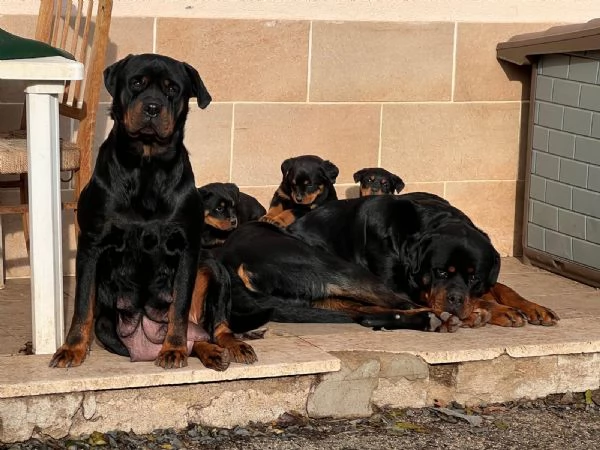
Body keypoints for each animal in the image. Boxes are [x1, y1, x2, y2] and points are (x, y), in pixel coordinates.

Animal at [49, 53, 255, 370]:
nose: (152, 107)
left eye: (172, 89)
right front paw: (72, 349)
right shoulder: (91, 244)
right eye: (136, 83)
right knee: (199, 338)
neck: (146, 166)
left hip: (214, 268)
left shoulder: (187, 248)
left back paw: (230, 346)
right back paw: (209, 352)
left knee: (214, 326)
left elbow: (179, 307)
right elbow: (82, 304)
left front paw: (173, 349)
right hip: (107, 329)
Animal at [288, 194, 560, 330]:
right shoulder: (401, 286)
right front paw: (500, 311)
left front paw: (533, 307)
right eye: (440, 272)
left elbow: (501, 287)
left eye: (474, 277)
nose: (455, 299)